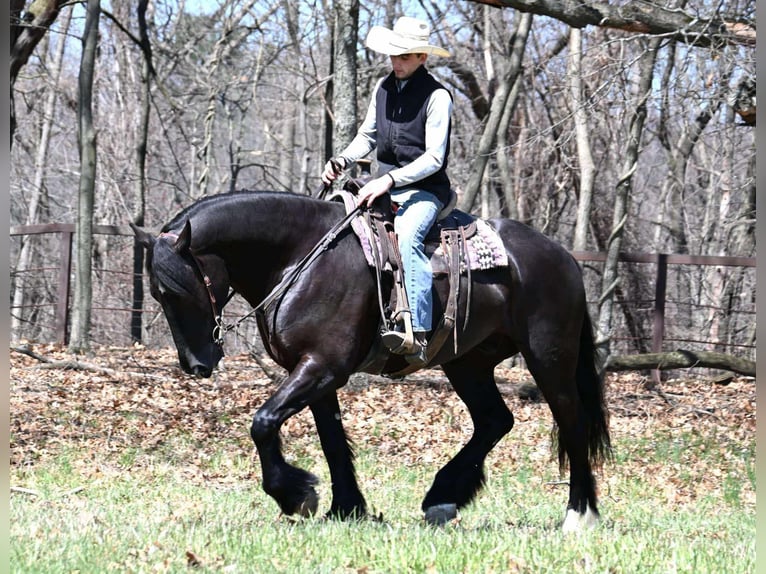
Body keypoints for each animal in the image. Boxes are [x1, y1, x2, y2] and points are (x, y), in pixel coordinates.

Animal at [131, 189, 611, 532]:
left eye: (174, 289)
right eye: (156, 291)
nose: (197, 364)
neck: (300, 257)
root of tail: (562, 257)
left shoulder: (322, 367)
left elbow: (263, 422)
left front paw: (296, 495)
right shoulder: (314, 372)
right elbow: (331, 440)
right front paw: (347, 507)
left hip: (549, 357)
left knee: (571, 421)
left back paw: (579, 514)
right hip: (468, 363)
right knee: (495, 421)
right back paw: (443, 497)